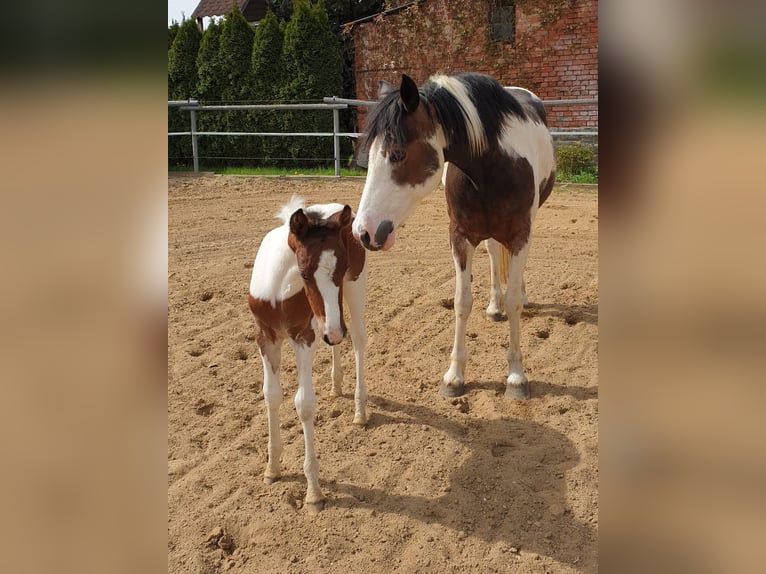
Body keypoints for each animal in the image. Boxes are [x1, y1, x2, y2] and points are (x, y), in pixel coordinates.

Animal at [249, 198, 368, 512]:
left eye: (341, 266)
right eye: (303, 274)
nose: (333, 332)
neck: (278, 290)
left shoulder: (304, 336)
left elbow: (303, 404)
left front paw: (313, 492)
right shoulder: (265, 337)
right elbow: (271, 395)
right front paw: (272, 469)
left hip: (354, 289)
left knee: (358, 340)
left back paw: (360, 411)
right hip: (329, 319)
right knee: (340, 340)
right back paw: (336, 385)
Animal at [354, 73, 560, 400]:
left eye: (398, 154)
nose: (364, 232)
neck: (492, 167)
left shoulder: (520, 234)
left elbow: (513, 301)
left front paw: (516, 377)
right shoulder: (460, 237)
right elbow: (462, 301)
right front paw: (454, 377)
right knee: (493, 252)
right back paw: (493, 306)